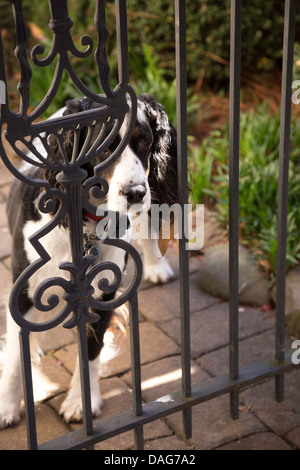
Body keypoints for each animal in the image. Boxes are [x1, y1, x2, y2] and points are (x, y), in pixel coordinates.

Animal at [0, 93, 177, 428]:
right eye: (104, 147)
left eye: (145, 141)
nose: (136, 192)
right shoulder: (24, 293)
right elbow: (17, 354)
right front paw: (7, 405)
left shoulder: (105, 293)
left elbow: (91, 351)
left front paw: (81, 400)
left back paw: (156, 266)